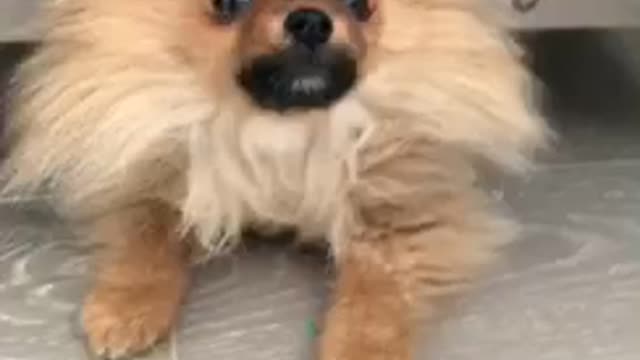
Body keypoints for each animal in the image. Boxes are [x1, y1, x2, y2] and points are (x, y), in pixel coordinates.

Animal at [1, 0, 552, 358]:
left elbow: (376, 296)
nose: (309, 20)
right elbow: (147, 242)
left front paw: (357, 347)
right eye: (227, 4)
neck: (283, 129)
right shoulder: (161, 178)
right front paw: (126, 305)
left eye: (360, 3)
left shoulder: (399, 214)